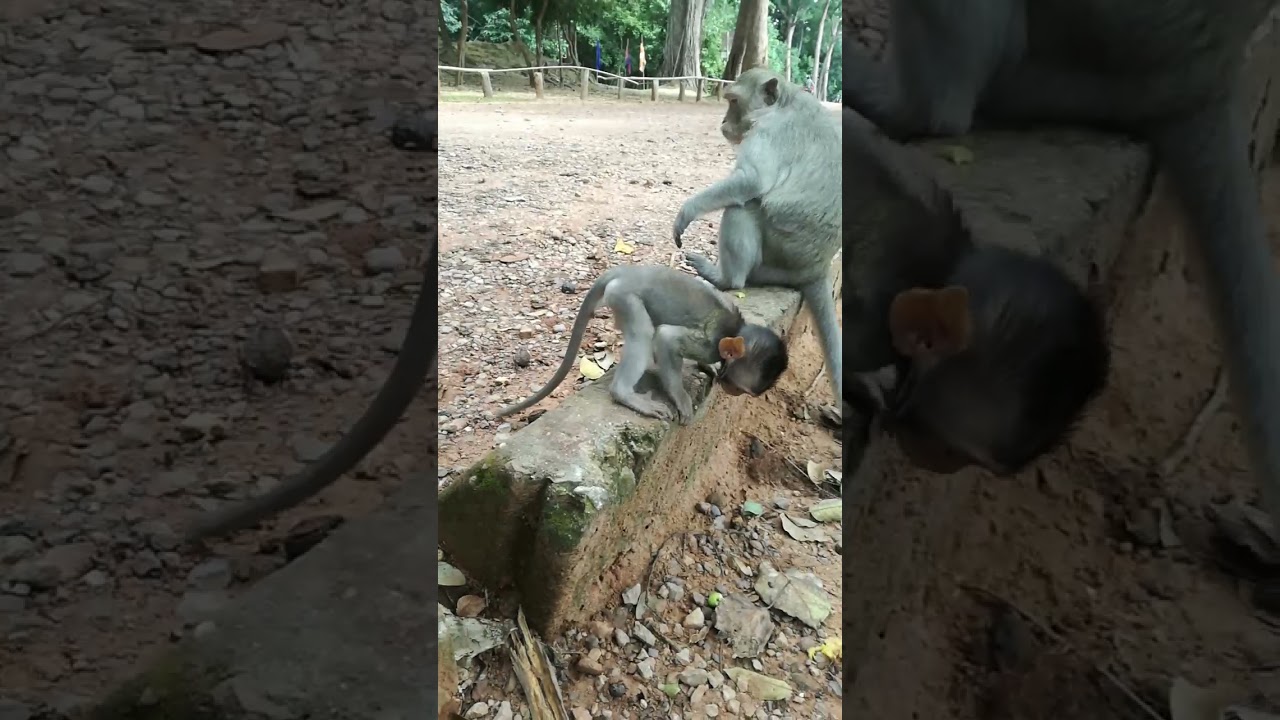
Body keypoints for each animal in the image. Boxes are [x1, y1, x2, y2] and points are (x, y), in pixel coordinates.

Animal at [496, 265, 788, 425]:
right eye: (738, 390)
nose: (732, 393)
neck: (734, 330)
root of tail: (627, 271)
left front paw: (710, 368)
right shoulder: (708, 342)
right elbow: (667, 338)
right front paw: (680, 397)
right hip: (624, 296)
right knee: (644, 333)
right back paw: (625, 394)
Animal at [671, 67, 842, 408]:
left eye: (734, 101)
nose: (723, 122)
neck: (787, 100)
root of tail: (816, 267)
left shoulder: (768, 131)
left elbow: (752, 181)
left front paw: (688, 210)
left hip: (776, 257)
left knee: (744, 206)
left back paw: (726, 278)